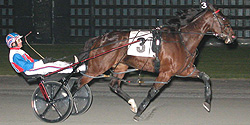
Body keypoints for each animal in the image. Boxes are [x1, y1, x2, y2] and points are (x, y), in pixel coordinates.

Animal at [75, 3, 235, 120]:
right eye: (223, 19)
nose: (233, 36)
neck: (182, 40)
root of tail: (100, 38)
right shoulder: (165, 73)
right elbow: (153, 92)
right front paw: (139, 113)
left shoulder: (186, 70)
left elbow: (206, 78)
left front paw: (207, 103)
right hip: (97, 67)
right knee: (78, 84)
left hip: (121, 65)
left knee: (114, 85)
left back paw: (132, 103)